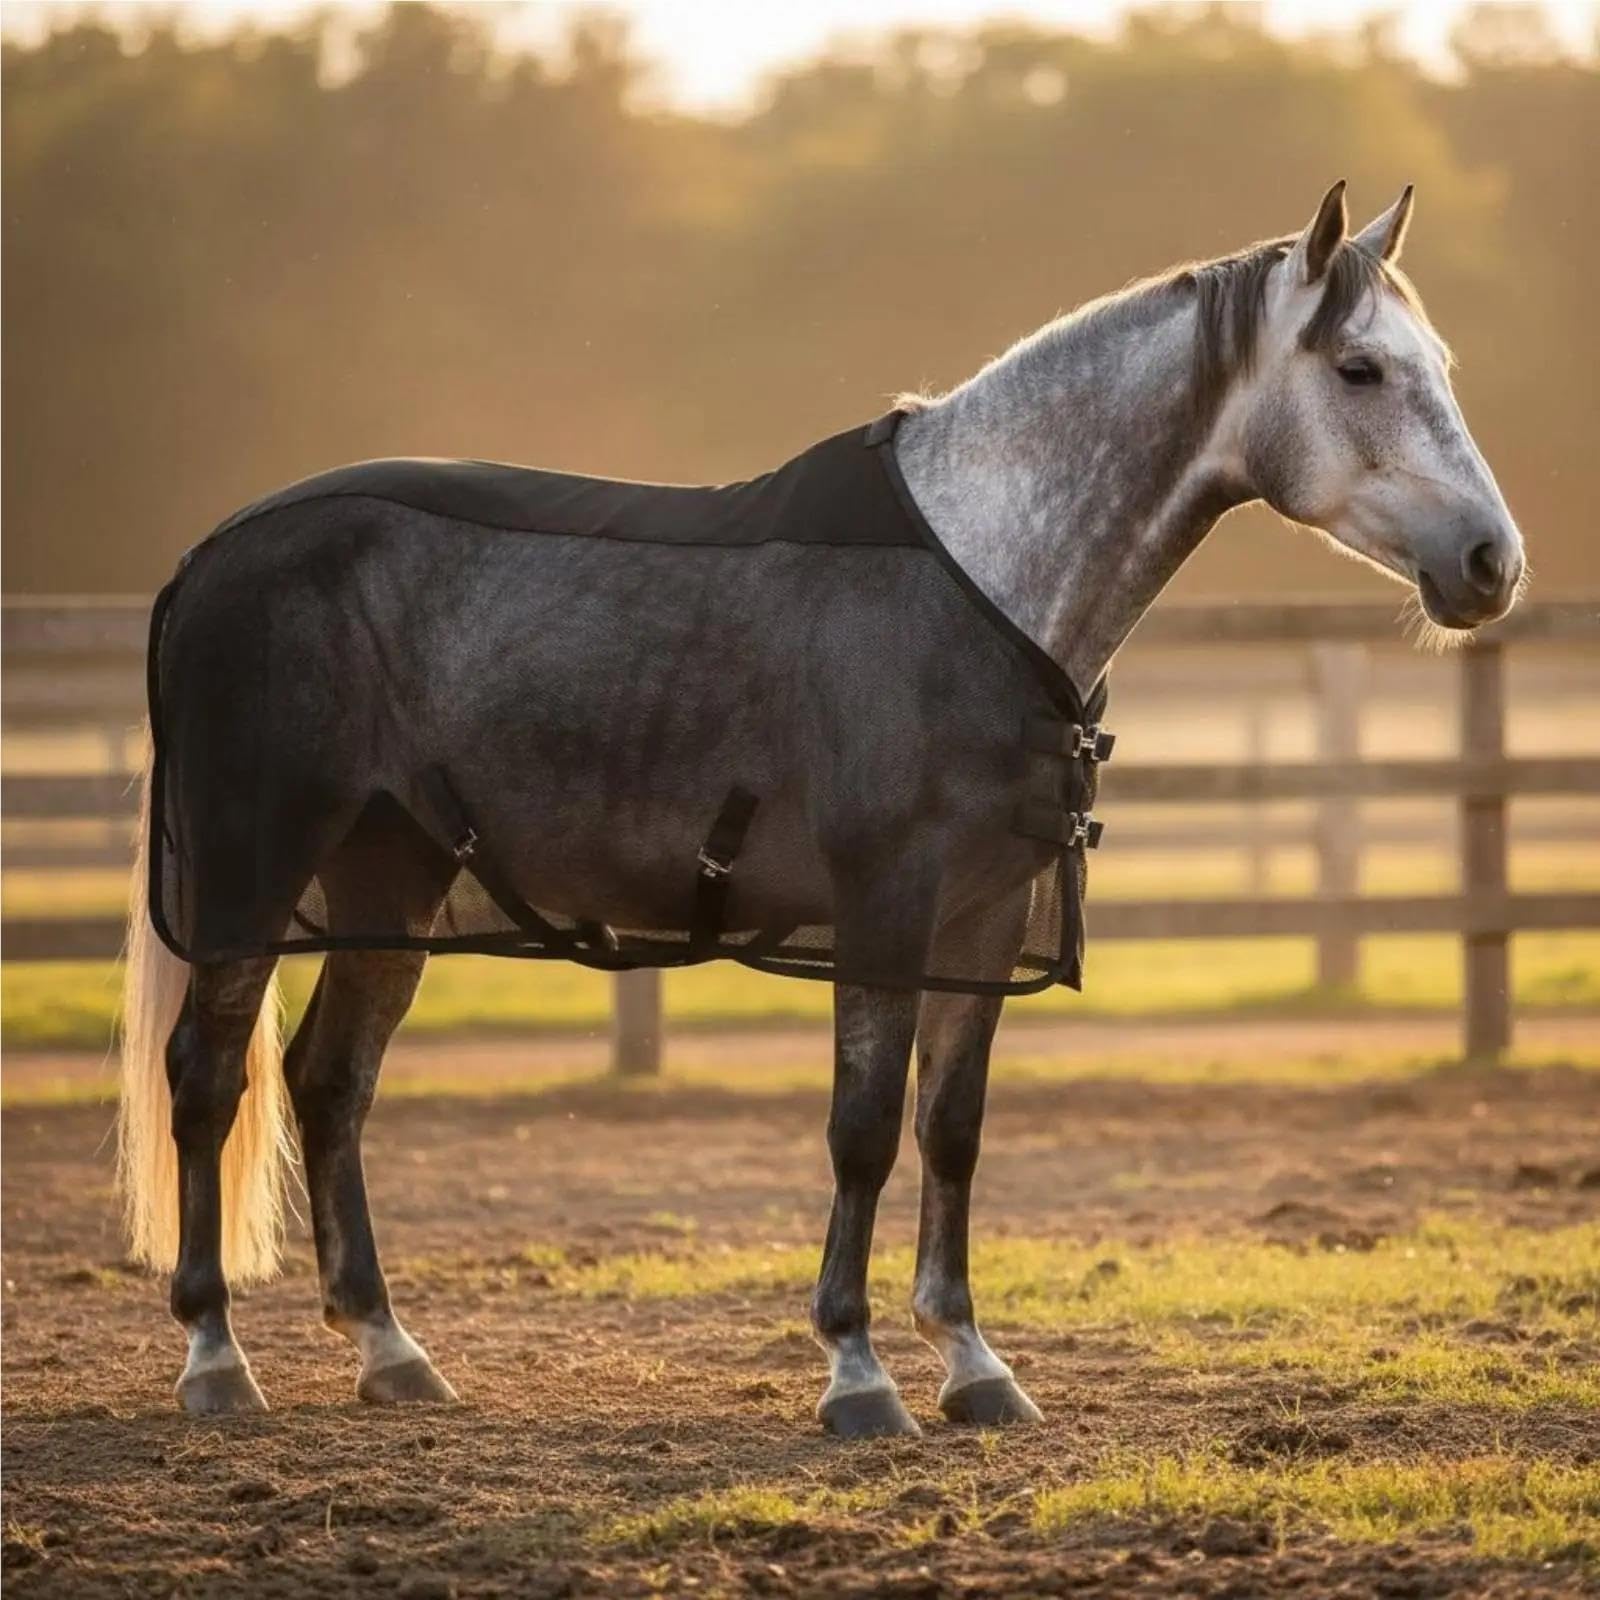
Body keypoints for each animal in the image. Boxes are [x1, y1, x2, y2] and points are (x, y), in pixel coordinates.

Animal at [118, 182, 1523, 1436]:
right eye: (1357, 369)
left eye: (1439, 364)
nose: (1491, 564)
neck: (977, 578)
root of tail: (208, 557)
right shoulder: (884, 909)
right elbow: (861, 1130)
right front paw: (857, 1372)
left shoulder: (978, 921)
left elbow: (949, 1131)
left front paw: (972, 1365)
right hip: (253, 873)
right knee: (207, 1079)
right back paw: (215, 1359)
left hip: (388, 878)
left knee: (328, 1081)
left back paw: (391, 1351)